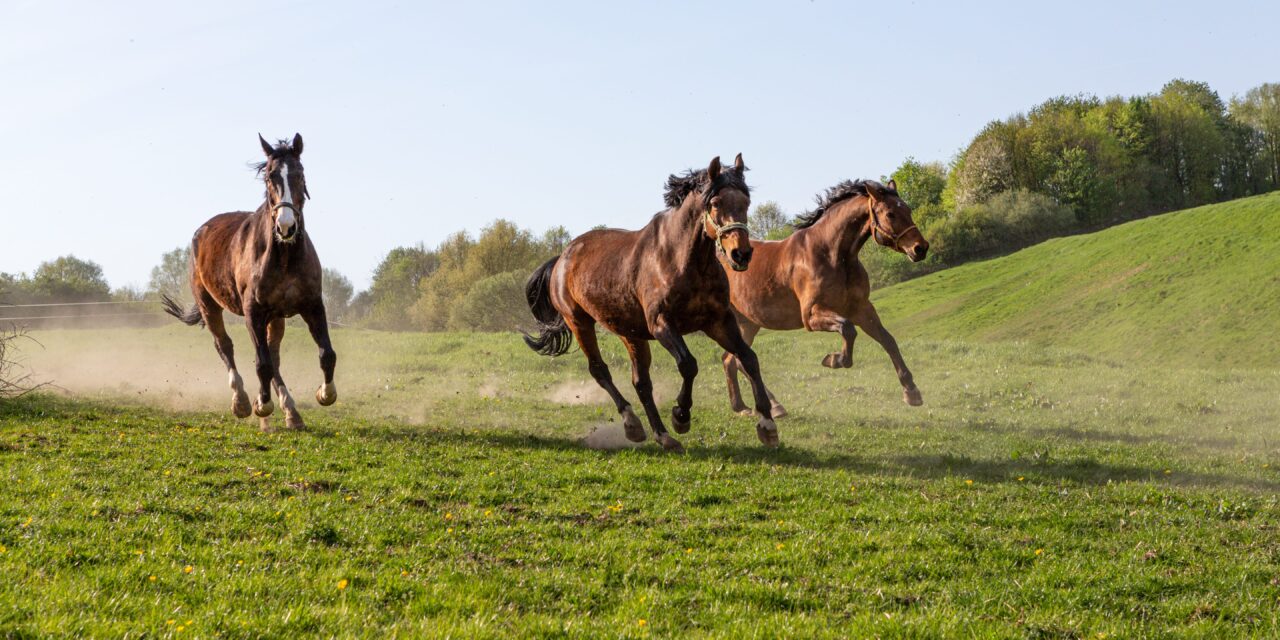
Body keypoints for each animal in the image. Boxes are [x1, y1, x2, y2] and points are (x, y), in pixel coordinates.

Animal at [161, 134, 337, 431]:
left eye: (300, 174)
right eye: (269, 176)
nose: (286, 227)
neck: (284, 256)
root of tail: (202, 231)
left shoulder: (312, 306)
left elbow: (326, 354)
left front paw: (325, 394)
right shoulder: (253, 312)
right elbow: (261, 363)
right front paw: (261, 405)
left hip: (275, 318)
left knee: (273, 356)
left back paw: (291, 411)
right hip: (210, 306)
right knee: (225, 346)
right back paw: (242, 401)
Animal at [523, 155, 781, 452]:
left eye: (746, 202)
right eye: (716, 203)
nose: (741, 254)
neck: (685, 261)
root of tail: (562, 258)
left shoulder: (718, 322)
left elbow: (749, 358)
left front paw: (767, 425)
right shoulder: (662, 324)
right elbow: (688, 364)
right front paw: (681, 415)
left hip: (631, 334)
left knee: (641, 383)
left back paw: (661, 435)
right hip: (579, 323)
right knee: (600, 371)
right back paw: (633, 423)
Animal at [719, 179, 928, 416]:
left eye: (908, 210)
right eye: (891, 214)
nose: (920, 248)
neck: (832, 254)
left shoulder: (862, 309)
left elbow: (888, 341)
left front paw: (911, 392)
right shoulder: (812, 316)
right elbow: (848, 329)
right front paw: (834, 360)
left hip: (748, 324)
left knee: (732, 360)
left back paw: (749, 406)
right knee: (738, 361)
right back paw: (766, 406)